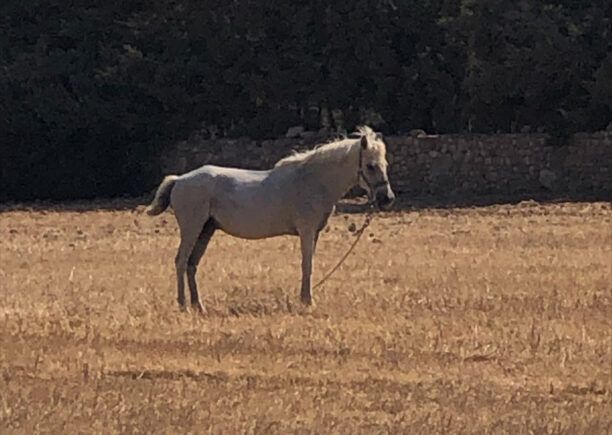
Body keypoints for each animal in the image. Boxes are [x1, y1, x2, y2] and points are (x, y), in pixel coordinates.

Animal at [146, 126, 394, 314]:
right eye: (371, 165)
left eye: (385, 165)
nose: (387, 199)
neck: (313, 181)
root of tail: (180, 180)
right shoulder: (306, 231)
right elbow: (307, 264)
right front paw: (307, 301)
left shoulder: (313, 233)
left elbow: (309, 264)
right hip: (192, 229)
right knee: (181, 261)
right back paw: (183, 306)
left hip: (206, 231)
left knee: (192, 264)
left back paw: (199, 306)